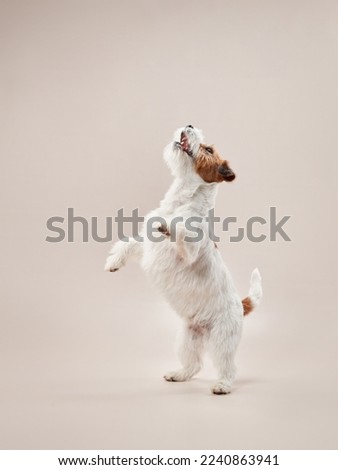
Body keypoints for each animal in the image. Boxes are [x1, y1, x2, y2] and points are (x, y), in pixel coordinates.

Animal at [104, 124, 262, 392]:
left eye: (208, 150)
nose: (189, 125)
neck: (182, 200)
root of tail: (241, 306)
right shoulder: (147, 243)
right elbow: (129, 243)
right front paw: (114, 262)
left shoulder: (188, 252)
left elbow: (180, 230)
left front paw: (170, 224)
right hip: (188, 336)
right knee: (194, 364)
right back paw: (178, 374)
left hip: (222, 339)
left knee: (229, 366)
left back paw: (223, 385)